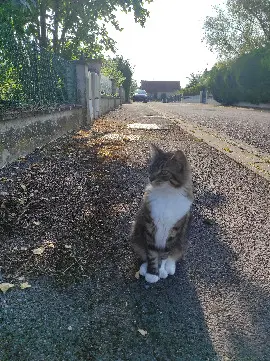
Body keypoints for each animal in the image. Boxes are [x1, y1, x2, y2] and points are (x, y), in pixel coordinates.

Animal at [130, 143, 193, 282]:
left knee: (175, 253)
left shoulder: (174, 230)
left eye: (164, 172)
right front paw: (152, 273)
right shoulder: (149, 225)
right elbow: (152, 253)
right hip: (136, 235)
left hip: (182, 239)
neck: (167, 194)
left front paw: (162, 269)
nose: (150, 178)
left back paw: (170, 267)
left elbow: (165, 253)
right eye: (151, 168)